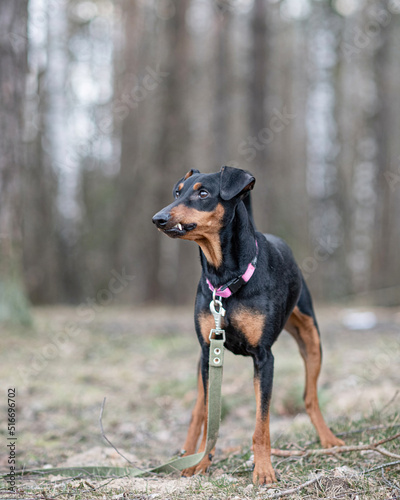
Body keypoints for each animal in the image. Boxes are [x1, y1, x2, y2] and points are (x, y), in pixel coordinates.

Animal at [152, 167, 342, 484]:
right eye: (177, 192)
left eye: (203, 193)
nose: (158, 218)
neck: (224, 279)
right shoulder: (209, 350)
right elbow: (207, 415)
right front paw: (202, 462)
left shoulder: (264, 358)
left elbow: (261, 424)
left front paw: (263, 470)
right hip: (203, 362)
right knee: (198, 411)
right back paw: (187, 455)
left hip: (311, 337)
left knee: (310, 396)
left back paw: (328, 439)